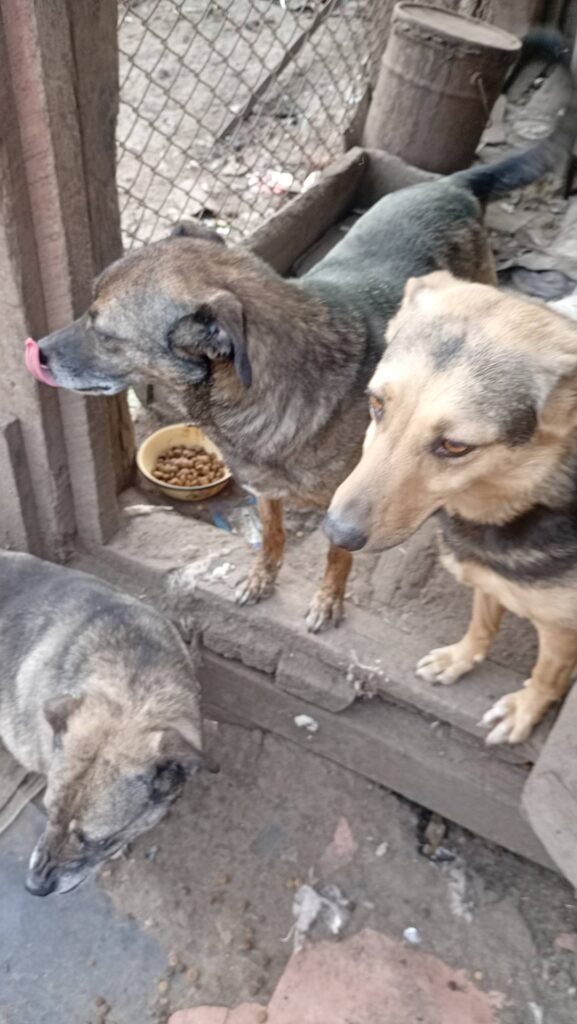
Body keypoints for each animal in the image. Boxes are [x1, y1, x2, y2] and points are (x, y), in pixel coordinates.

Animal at [25, 31, 575, 633]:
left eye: (104, 331)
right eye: (88, 309)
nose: (37, 352)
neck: (253, 396)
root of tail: (452, 184)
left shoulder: (347, 504)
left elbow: (336, 555)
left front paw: (327, 600)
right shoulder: (264, 491)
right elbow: (273, 533)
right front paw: (261, 578)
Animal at [325, 271, 577, 744]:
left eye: (456, 446)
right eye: (376, 404)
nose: (337, 533)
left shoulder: (562, 630)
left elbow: (546, 676)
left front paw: (525, 709)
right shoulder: (485, 578)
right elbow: (482, 623)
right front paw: (460, 659)